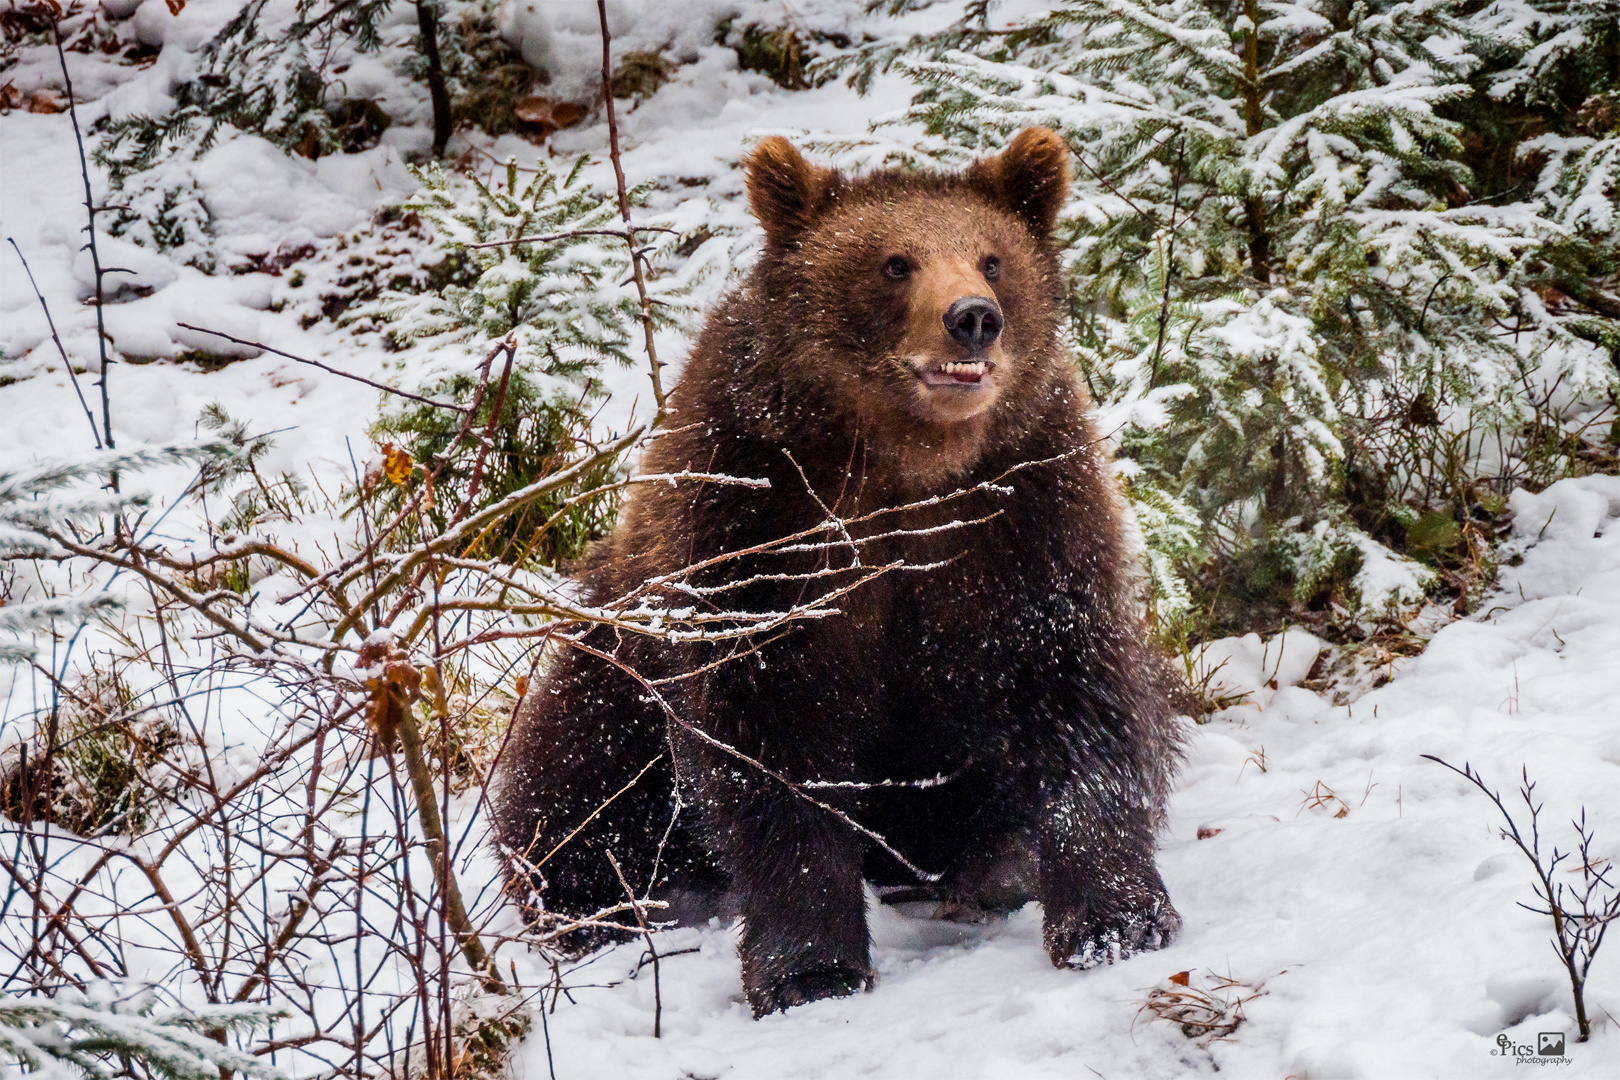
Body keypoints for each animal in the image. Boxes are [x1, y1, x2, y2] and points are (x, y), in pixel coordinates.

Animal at [486, 131, 1185, 1016]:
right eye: (895, 263)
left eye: (992, 259)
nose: (973, 320)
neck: (904, 462)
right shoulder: (760, 516)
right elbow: (771, 739)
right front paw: (809, 969)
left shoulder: (1023, 508)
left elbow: (1071, 690)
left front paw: (1113, 918)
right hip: (616, 649)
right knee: (575, 777)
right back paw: (591, 903)